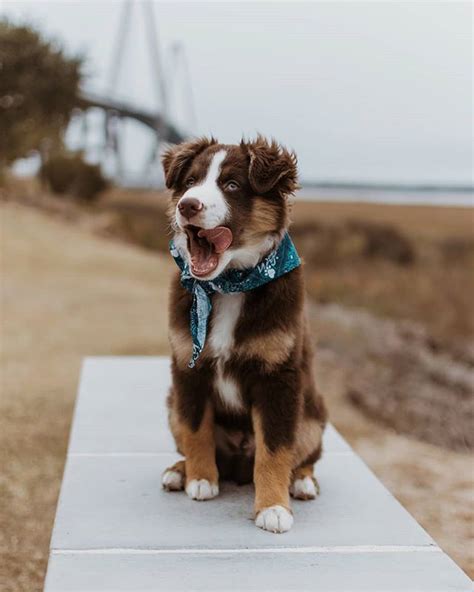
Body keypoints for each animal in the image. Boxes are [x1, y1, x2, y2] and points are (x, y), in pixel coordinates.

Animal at [159, 136, 326, 536]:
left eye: (232, 185)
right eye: (190, 181)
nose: (188, 205)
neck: (228, 285)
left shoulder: (278, 378)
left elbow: (275, 448)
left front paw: (273, 508)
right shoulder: (187, 368)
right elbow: (196, 429)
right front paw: (200, 479)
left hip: (312, 418)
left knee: (303, 455)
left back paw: (302, 481)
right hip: (171, 403)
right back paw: (180, 471)